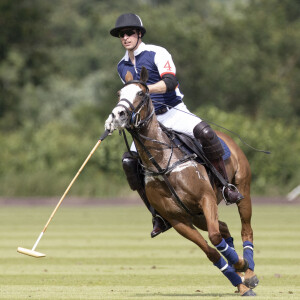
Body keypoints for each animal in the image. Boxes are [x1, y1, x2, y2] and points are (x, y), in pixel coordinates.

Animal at [105, 67, 258, 296]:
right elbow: (212, 252)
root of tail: (227, 137)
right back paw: (241, 278)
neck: (162, 164)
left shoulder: (206, 198)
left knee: (245, 228)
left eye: (141, 93)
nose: (117, 115)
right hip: (196, 215)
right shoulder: (178, 220)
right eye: (118, 94)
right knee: (223, 227)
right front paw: (236, 277)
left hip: (242, 189)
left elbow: (214, 237)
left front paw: (240, 265)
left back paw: (249, 273)